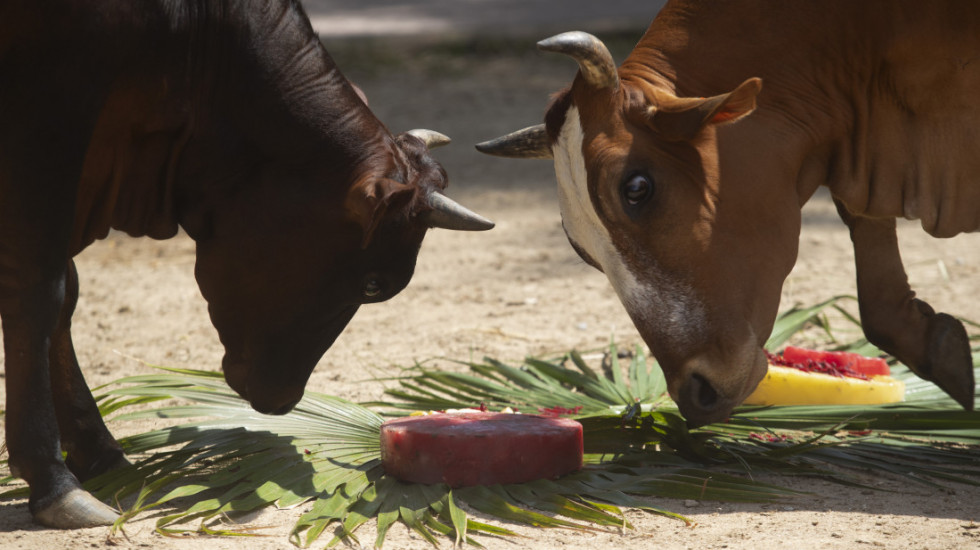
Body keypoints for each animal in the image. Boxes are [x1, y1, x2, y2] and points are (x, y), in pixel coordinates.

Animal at [0, 0, 490, 532]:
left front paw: (97, 451)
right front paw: (52, 478)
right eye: (374, 284)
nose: (284, 399)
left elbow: (64, 295)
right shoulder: (49, 128)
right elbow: (40, 292)